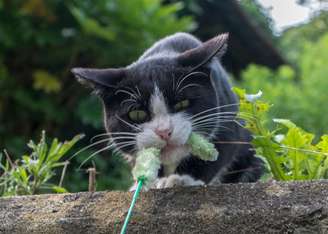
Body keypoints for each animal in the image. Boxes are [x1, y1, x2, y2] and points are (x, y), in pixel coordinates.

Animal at [72, 33, 264, 189]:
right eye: (137, 113)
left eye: (182, 103)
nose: (164, 131)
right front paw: (148, 183)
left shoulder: (226, 113)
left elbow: (222, 146)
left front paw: (182, 179)